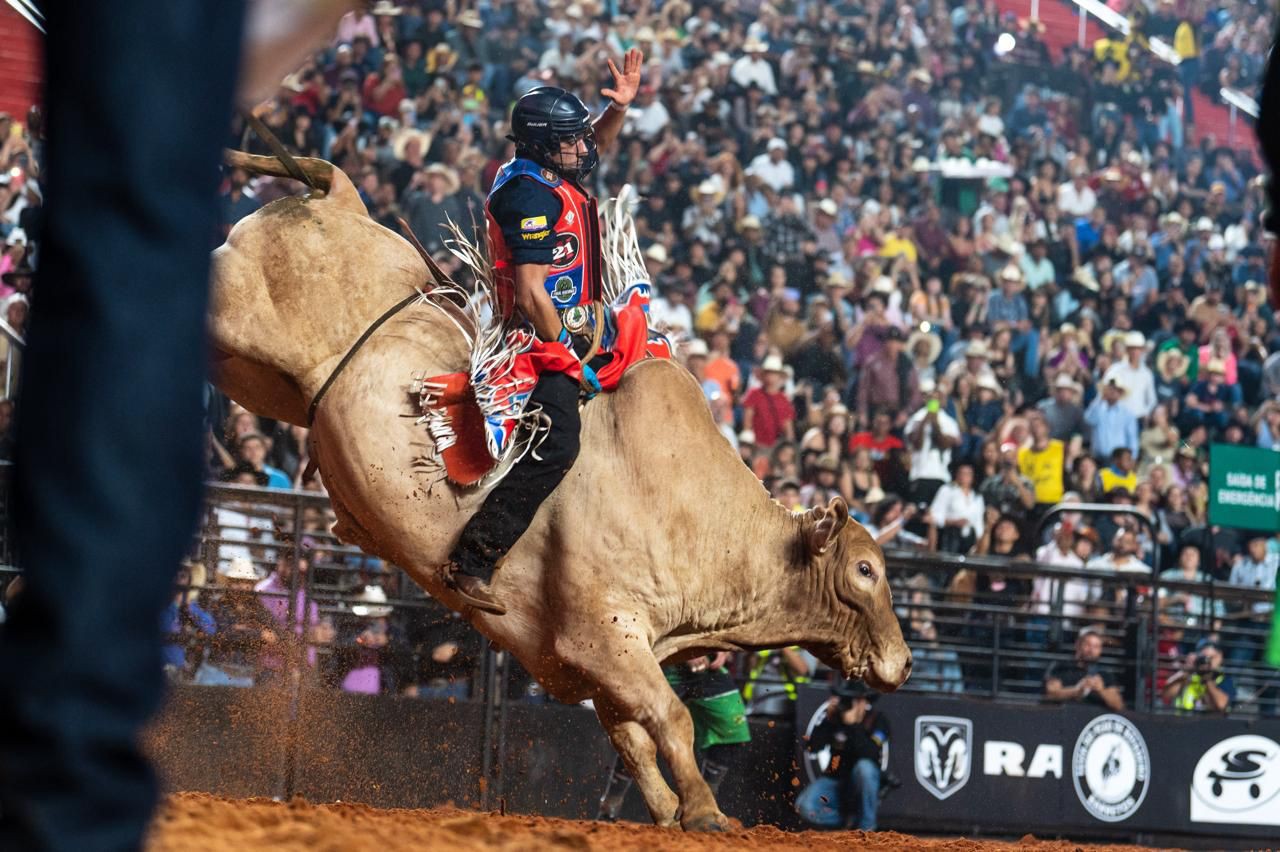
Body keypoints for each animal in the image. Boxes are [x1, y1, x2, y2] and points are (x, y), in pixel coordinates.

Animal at [209, 149, 911, 823]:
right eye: (866, 571)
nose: (903, 663)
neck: (695, 517)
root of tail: (339, 202)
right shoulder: (607, 637)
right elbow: (672, 721)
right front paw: (708, 813)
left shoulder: (590, 666)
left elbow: (634, 743)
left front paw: (668, 813)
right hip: (234, 318)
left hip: (260, 379)